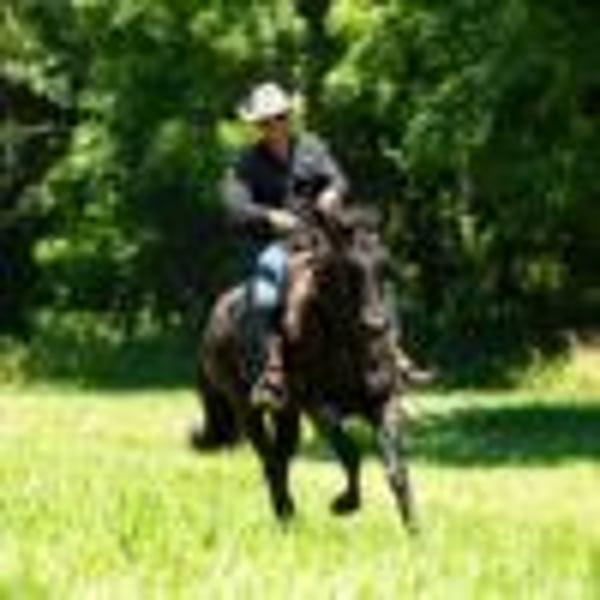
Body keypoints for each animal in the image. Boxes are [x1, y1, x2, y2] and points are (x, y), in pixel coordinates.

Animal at [189, 203, 417, 532]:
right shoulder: (318, 406)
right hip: (248, 410)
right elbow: (351, 452)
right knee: (271, 461)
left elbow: (397, 470)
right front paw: (344, 504)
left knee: (281, 458)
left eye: (384, 267)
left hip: (287, 413)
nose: (375, 326)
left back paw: (290, 518)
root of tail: (216, 315)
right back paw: (286, 519)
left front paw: (416, 532)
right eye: (348, 269)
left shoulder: (383, 402)